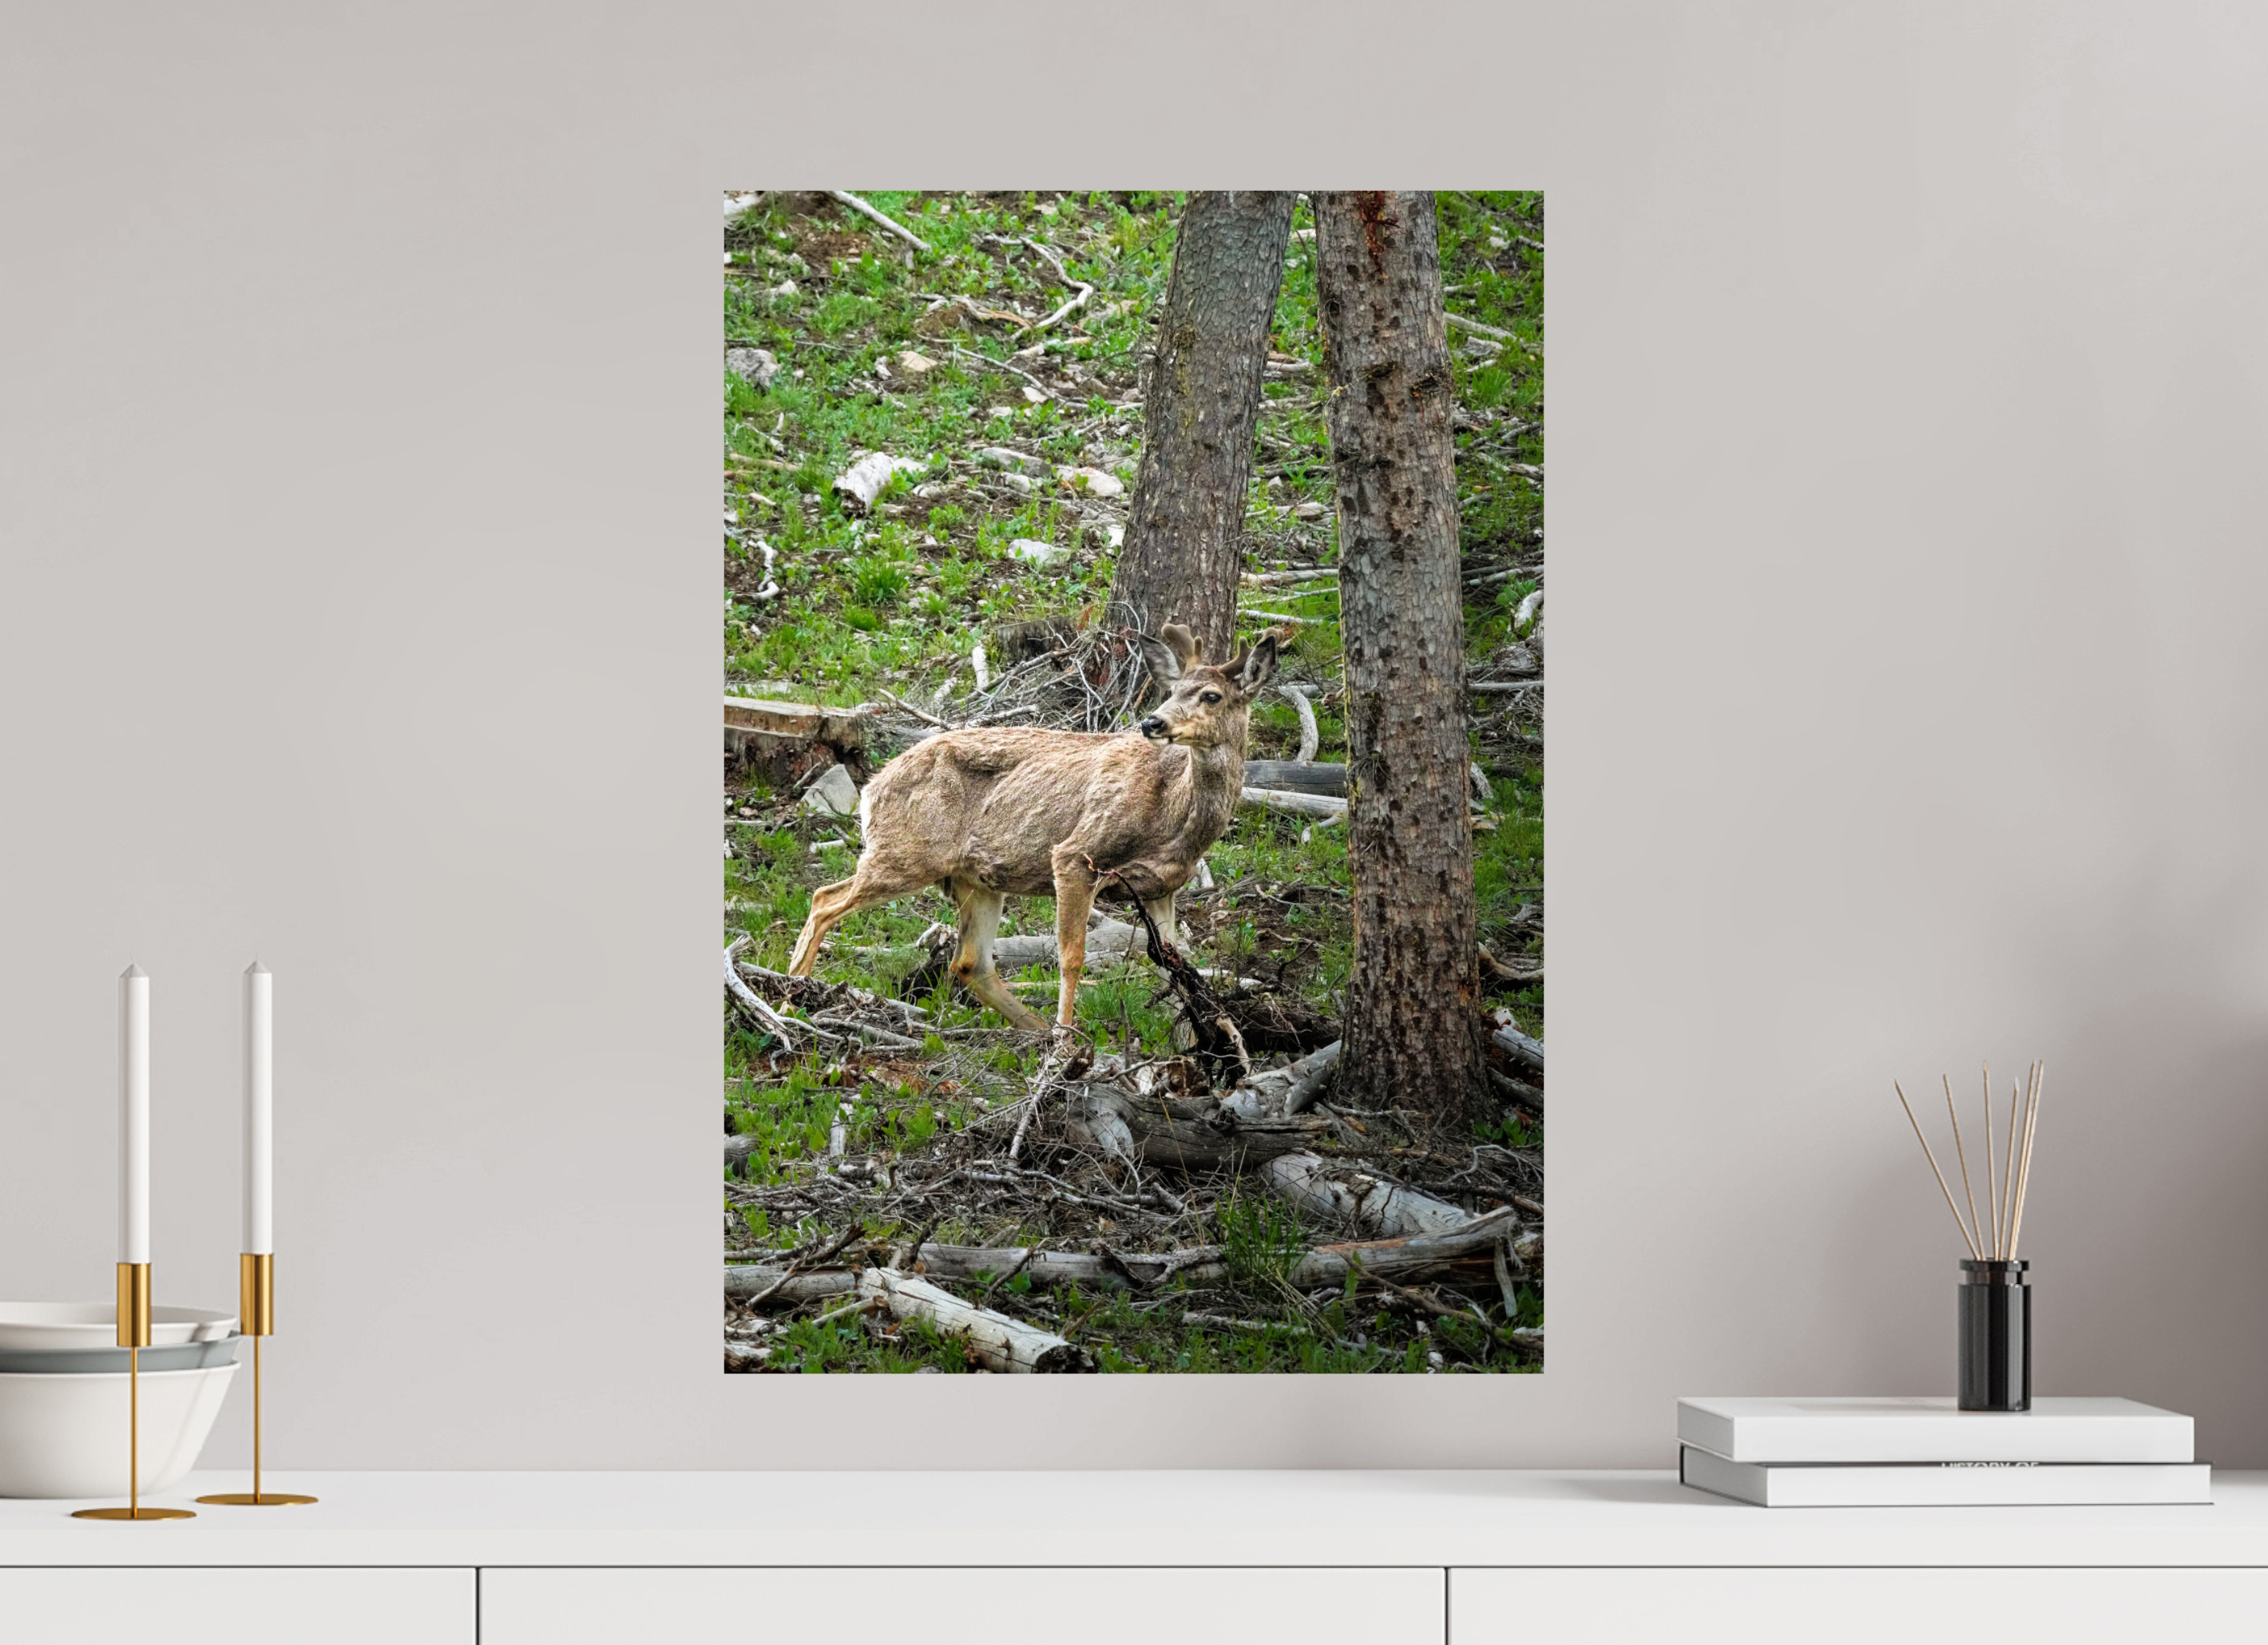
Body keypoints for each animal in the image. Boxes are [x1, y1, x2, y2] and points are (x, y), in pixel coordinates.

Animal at [787, 623, 1279, 1033]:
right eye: (1172, 690)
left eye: (1212, 695)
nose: (1152, 722)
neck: (1174, 820)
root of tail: (872, 787)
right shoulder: (1077, 855)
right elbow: (1071, 956)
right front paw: (1066, 1037)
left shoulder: (1163, 887)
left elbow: (1176, 966)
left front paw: (1201, 1039)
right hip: (907, 853)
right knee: (824, 899)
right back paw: (793, 997)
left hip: (974, 880)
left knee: (970, 962)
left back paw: (1034, 1031)